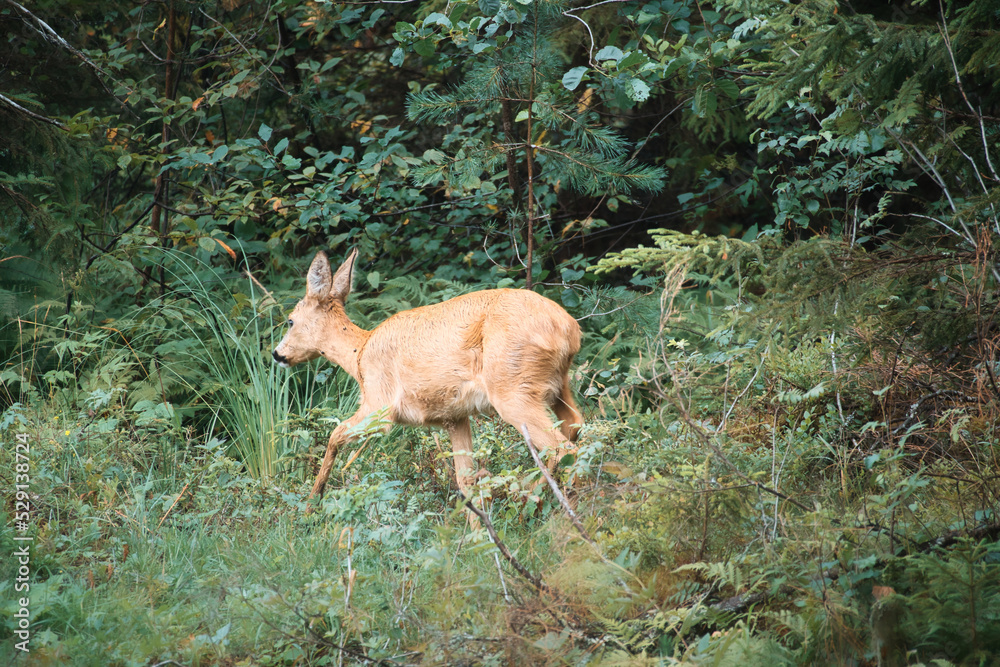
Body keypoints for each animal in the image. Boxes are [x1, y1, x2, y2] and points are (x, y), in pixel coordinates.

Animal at [272, 249, 584, 515]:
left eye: (290, 320)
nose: (277, 354)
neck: (359, 354)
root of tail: (570, 329)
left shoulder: (380, 404)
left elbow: (334, 434)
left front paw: (311, 505)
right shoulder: (455, 416)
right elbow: (465, 481)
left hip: (512, 388)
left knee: (562, 448)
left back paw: (533, 504)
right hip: (557, 385)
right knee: (576, 427)